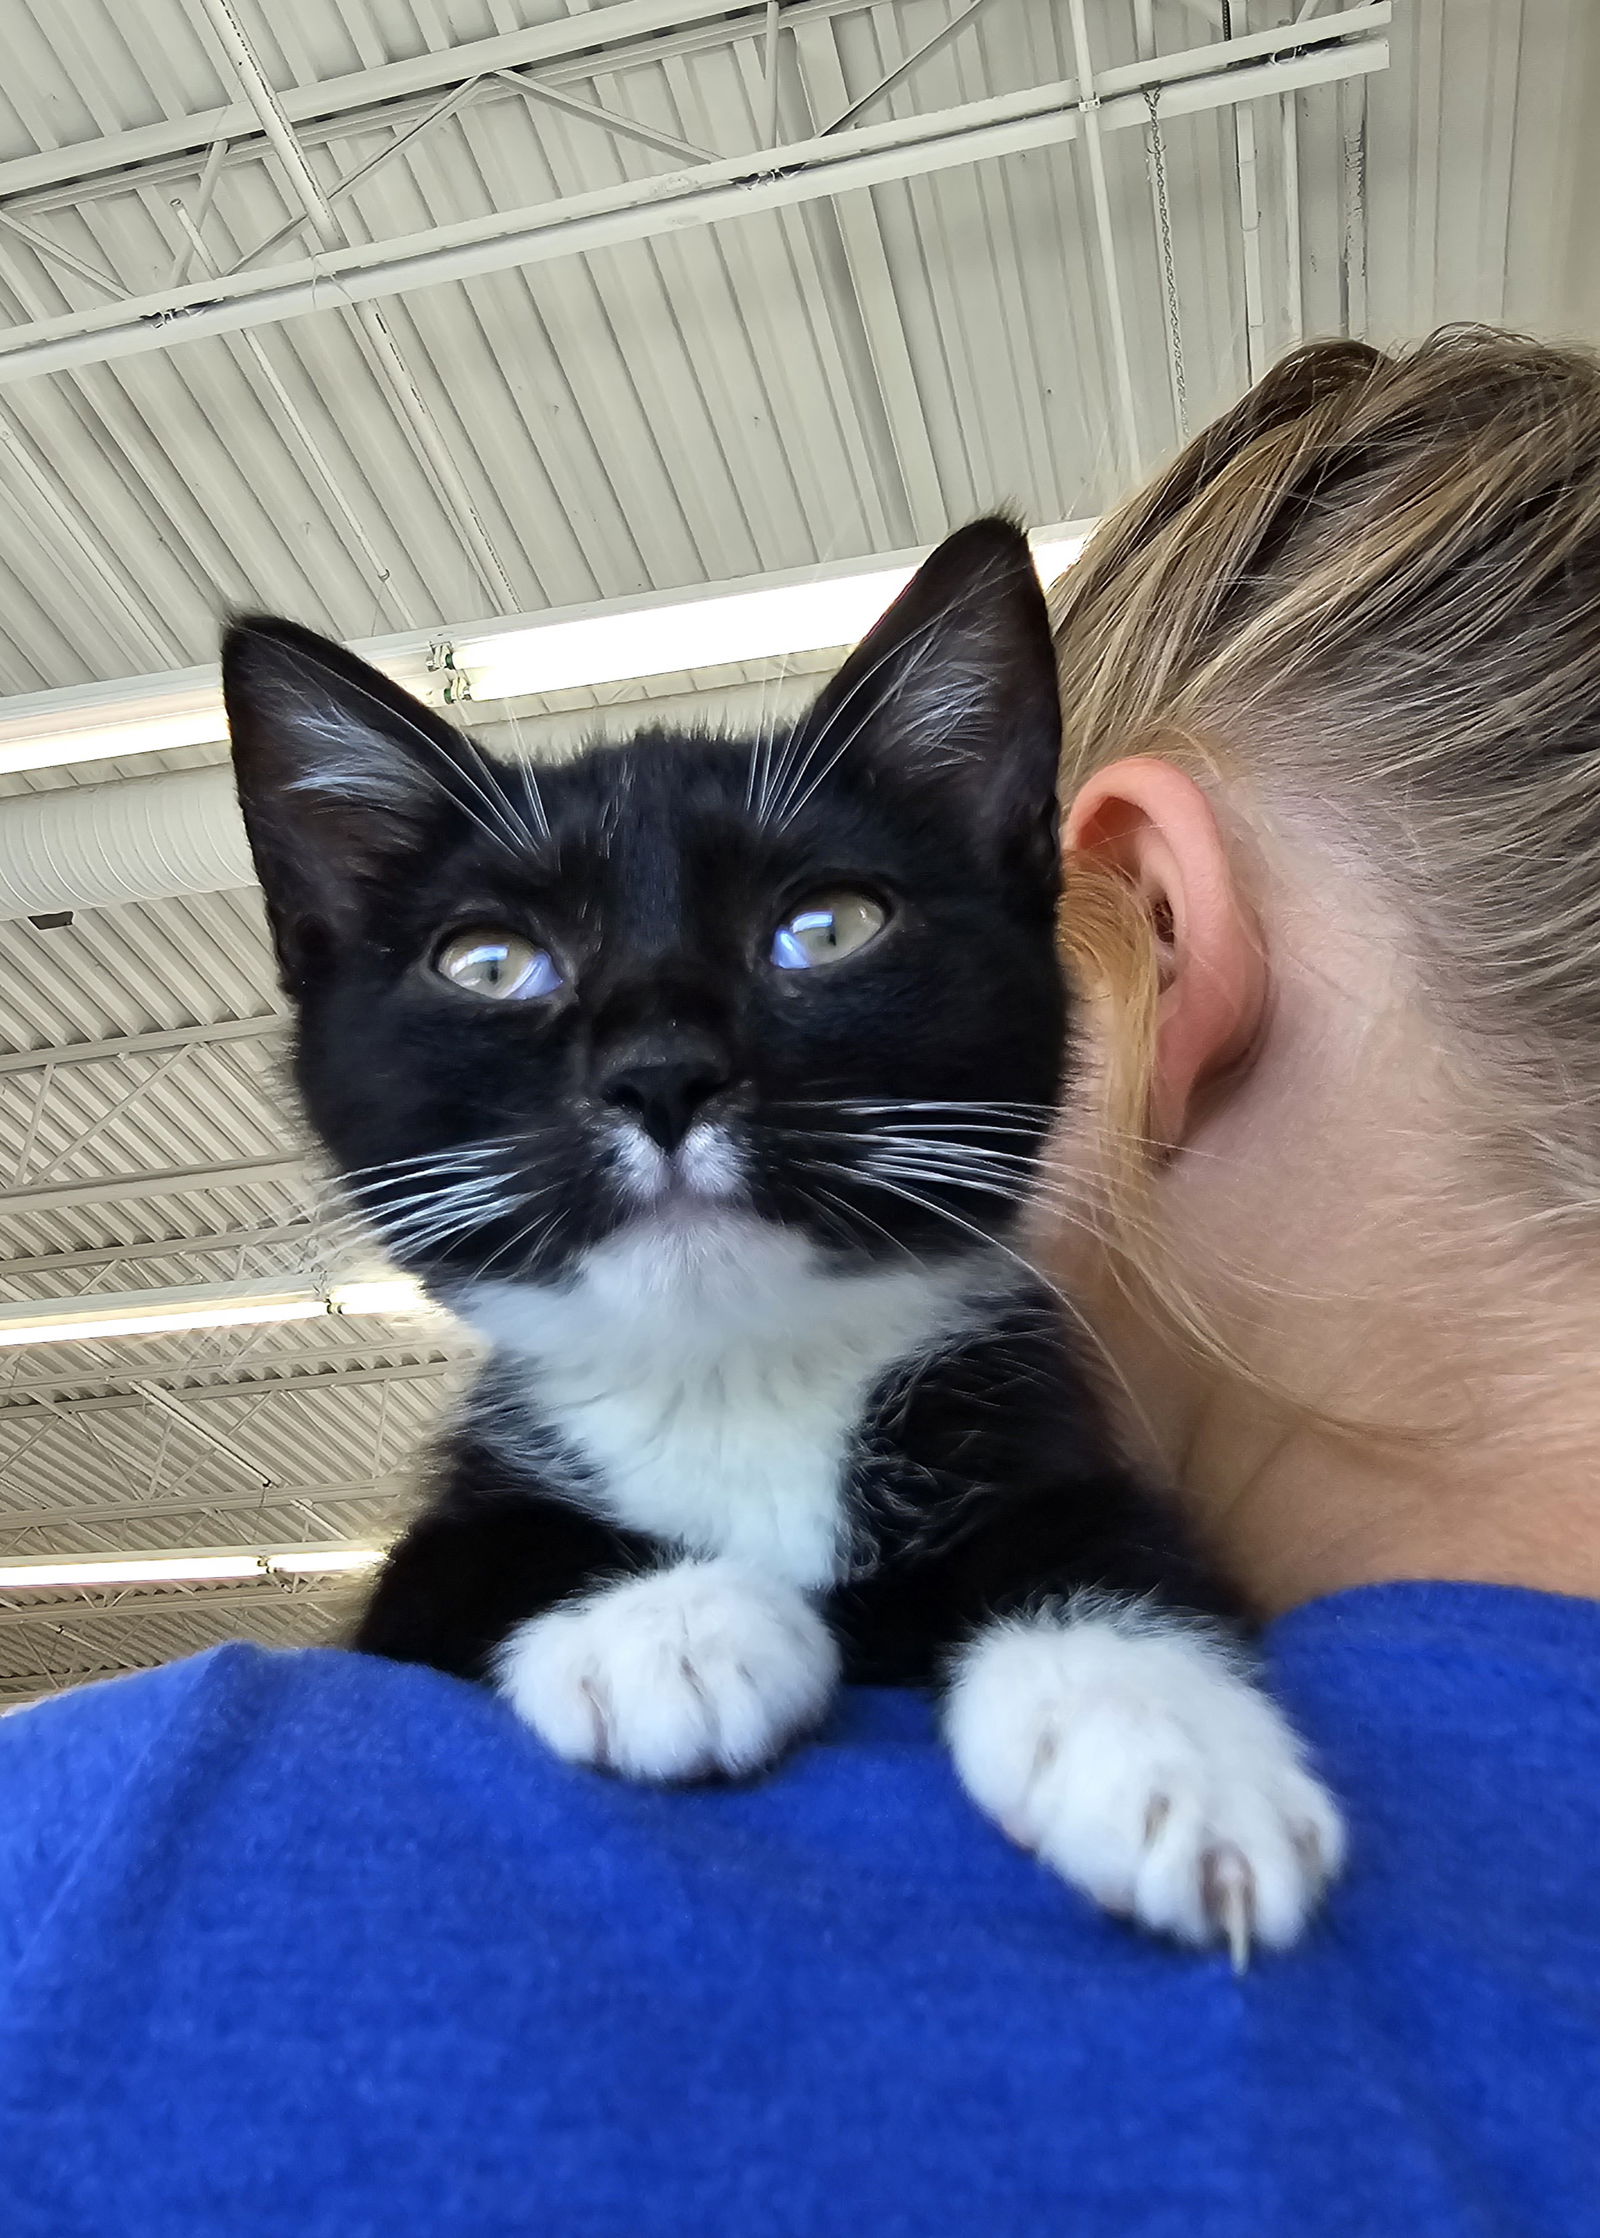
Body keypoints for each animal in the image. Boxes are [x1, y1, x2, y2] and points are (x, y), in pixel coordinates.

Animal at [224, 523, 1342, 1960]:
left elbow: (1102, 1535)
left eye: (826, 929)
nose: (661, 1071)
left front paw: (1168, 1752)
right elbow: (460, 1556)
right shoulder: (419, 1576)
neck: (736, 1381)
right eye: (488, 963)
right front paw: (666, 1628)